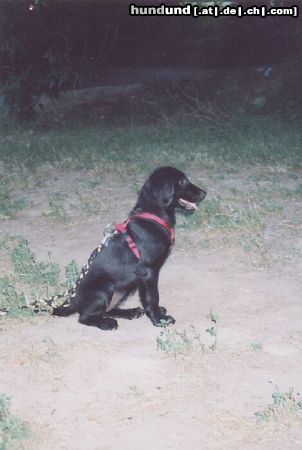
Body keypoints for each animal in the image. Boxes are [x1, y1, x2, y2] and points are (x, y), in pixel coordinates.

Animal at [52, 167, 208, 328]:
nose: (204, 193)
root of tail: (72, 300)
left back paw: (130, 312)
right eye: (182, 181)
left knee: (108, 309)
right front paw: (159, 320)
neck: (154, 216)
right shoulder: (149, 272)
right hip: (105, 290)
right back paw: (107, 323)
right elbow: (152, 297)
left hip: (125, 288)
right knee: (84, 317)